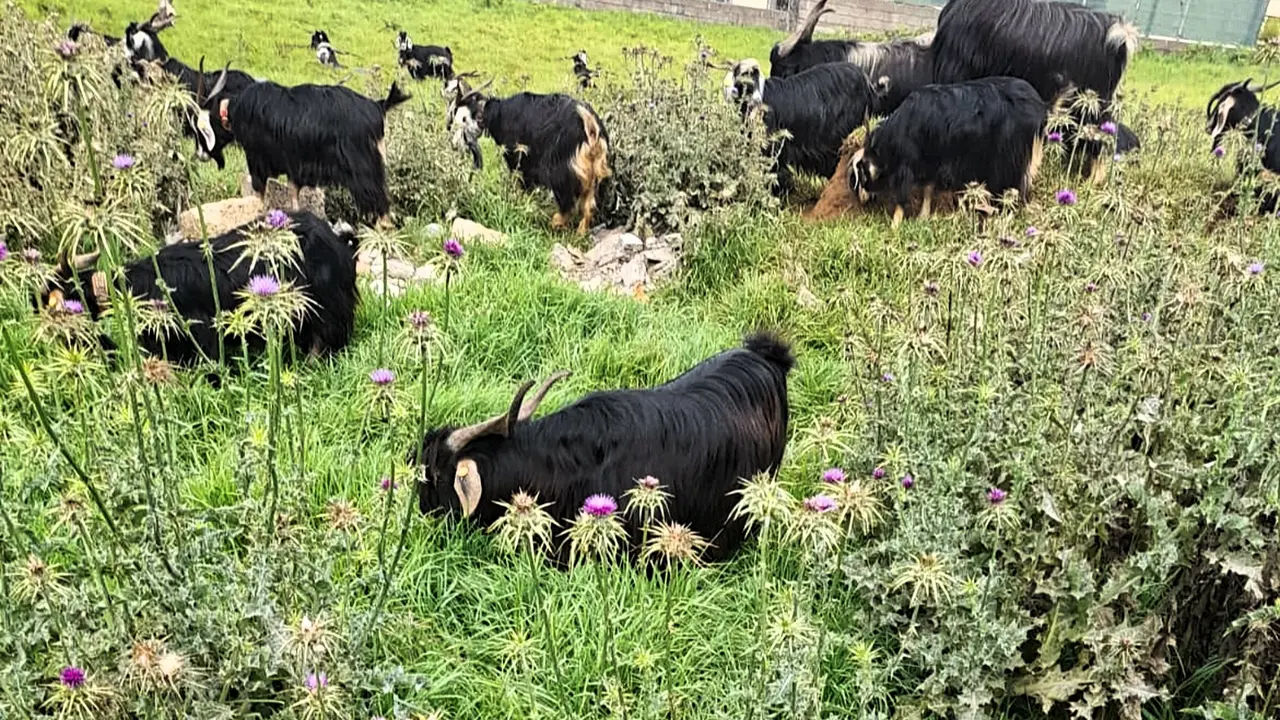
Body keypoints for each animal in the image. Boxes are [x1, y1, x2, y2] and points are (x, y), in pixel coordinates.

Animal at [192, 63, 411, 224]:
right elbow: (294, 196)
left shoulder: (257, 160)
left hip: (364, 174)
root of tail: (378, 106)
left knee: (382, 212)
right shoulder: (295, 168)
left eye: (202, 129)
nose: (200, 155)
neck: (236, 110)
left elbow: (260, 193)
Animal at [448, 81, 610, 234]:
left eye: (462, 118)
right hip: (593, 173)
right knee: (589, 206)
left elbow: (521, 183)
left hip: (560, 171)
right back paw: (579, 233)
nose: (454, 144)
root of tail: (590, 126)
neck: (498, 114)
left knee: (567, 203)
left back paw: (555, 223)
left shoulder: (517, 158)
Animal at [850, 77, 1048, 228]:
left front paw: (895, 226)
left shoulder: (909, 165)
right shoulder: (930, 161)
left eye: (861, 171)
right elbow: (928, 188)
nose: (861, 199)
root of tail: (1040, 109)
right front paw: (923, 216)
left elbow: (902, 197)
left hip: (1007, 160)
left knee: (1011, 187)